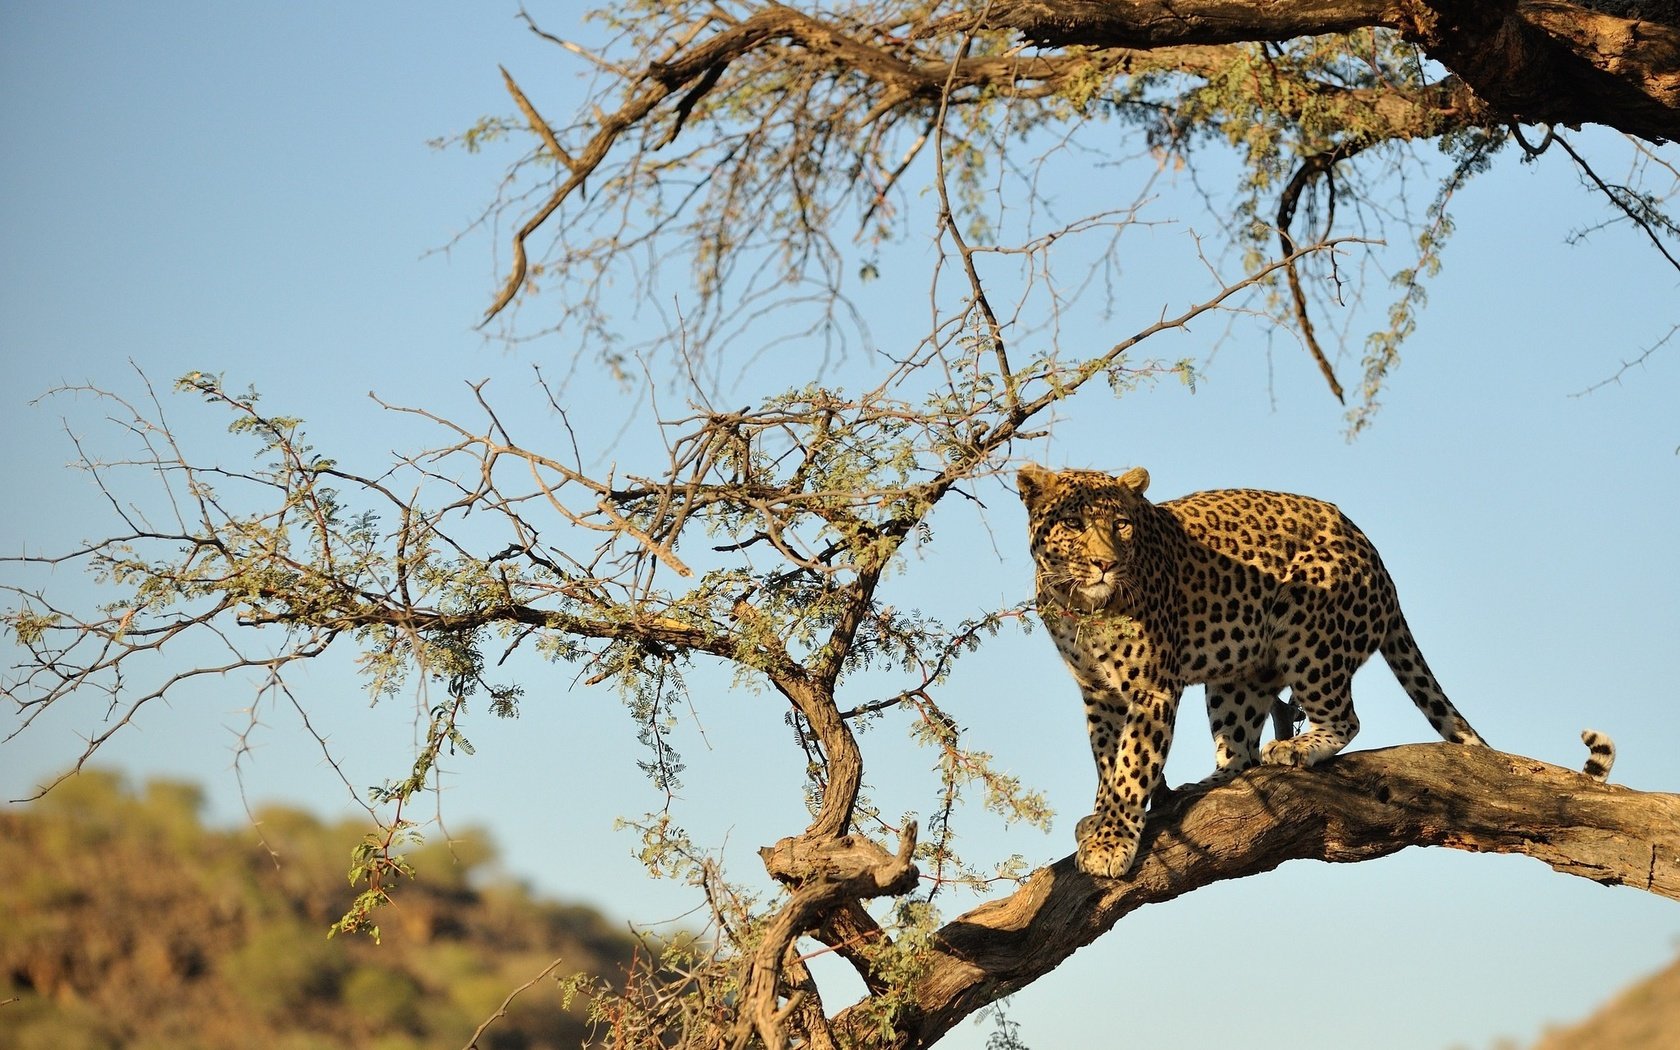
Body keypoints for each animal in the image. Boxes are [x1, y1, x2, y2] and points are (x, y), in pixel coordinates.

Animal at [1014, 463, 1491, 880]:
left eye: (1120, 525)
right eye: (1073, 523)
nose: (1106, 565)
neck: (1082, 606)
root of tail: (1379, 562)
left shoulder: (1152, 687)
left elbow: (1131, 764)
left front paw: (1110, 842)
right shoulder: (1098, 691)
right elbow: (1106, 758)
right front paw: (1099, 820)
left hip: (1310, 631)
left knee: (1344, 718)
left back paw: (1297, 748)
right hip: (1238, 676)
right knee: (1240, 752)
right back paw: (1199, 787)